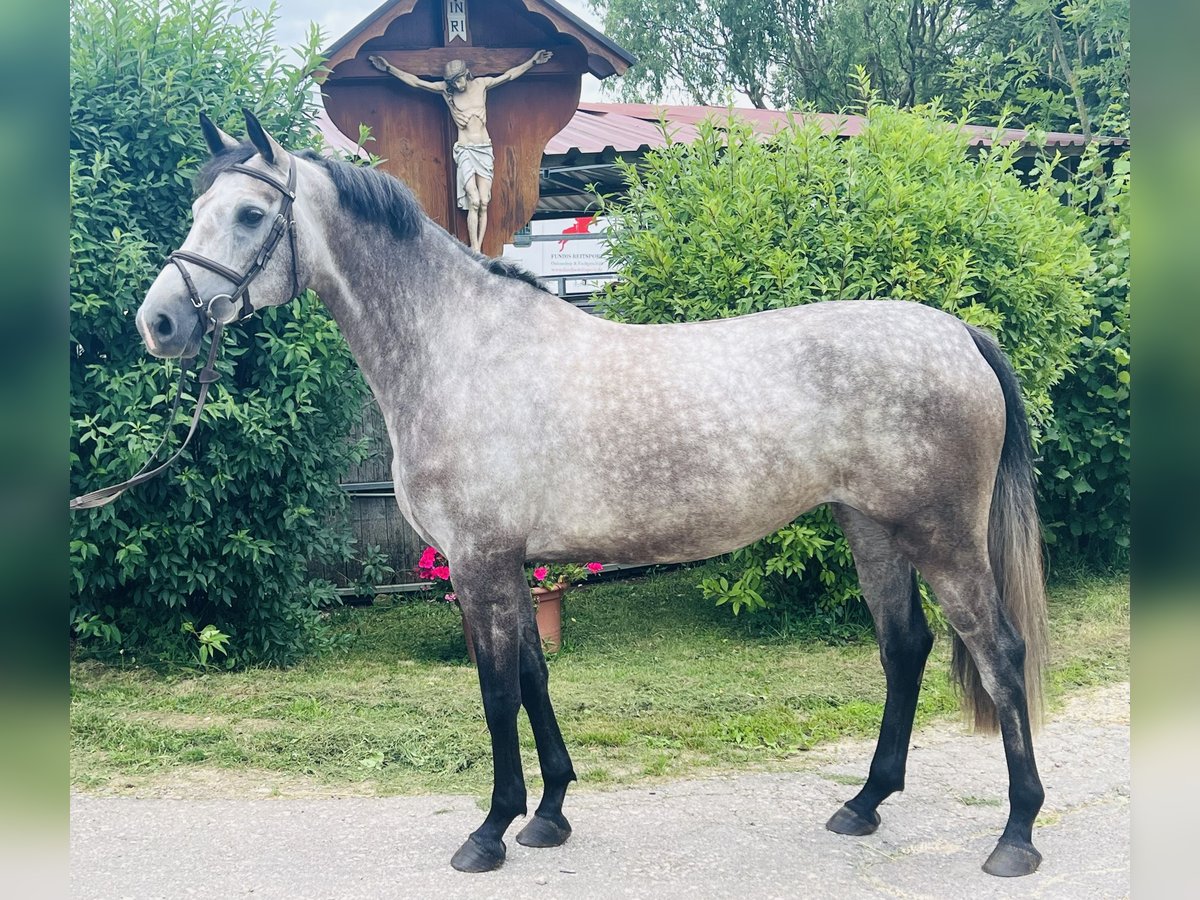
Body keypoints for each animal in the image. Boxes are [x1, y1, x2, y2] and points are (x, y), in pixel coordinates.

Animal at [133, 112, 1051, 883]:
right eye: (198, 204)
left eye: (251, 215)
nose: (160, 323)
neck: (458, 349)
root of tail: (957, 333)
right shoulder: (511, 563)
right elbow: (534, 679)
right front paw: (548, 816)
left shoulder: (477, 562)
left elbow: (497, 690)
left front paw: (489, 831)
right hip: (873, 530)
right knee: (905, 649)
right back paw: (863, 805)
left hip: (941, 535)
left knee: (1001, 653)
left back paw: (1015, 836)